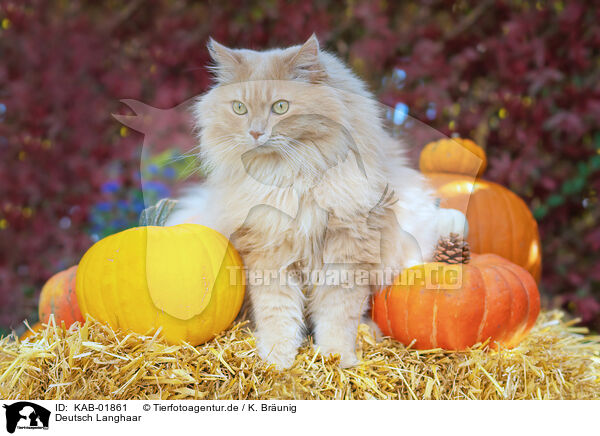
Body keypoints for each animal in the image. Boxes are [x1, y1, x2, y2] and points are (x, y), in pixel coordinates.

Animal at [166, 35, 466, 368]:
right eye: (239, 108)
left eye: (280, 107)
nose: (255, 132)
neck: (290, 179)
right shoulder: (268, 251)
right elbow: (278, 312)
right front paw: (277, 358)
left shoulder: (348, 249)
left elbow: (337, 313)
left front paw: (337, 356)